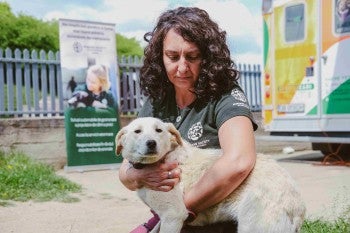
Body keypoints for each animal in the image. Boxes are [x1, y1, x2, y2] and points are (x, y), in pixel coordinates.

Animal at [115, 117, 306, 233]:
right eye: (137, 131)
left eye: (159, 130)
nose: (151, 143)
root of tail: (297, 205)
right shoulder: (164, 217)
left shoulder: (173, 214)